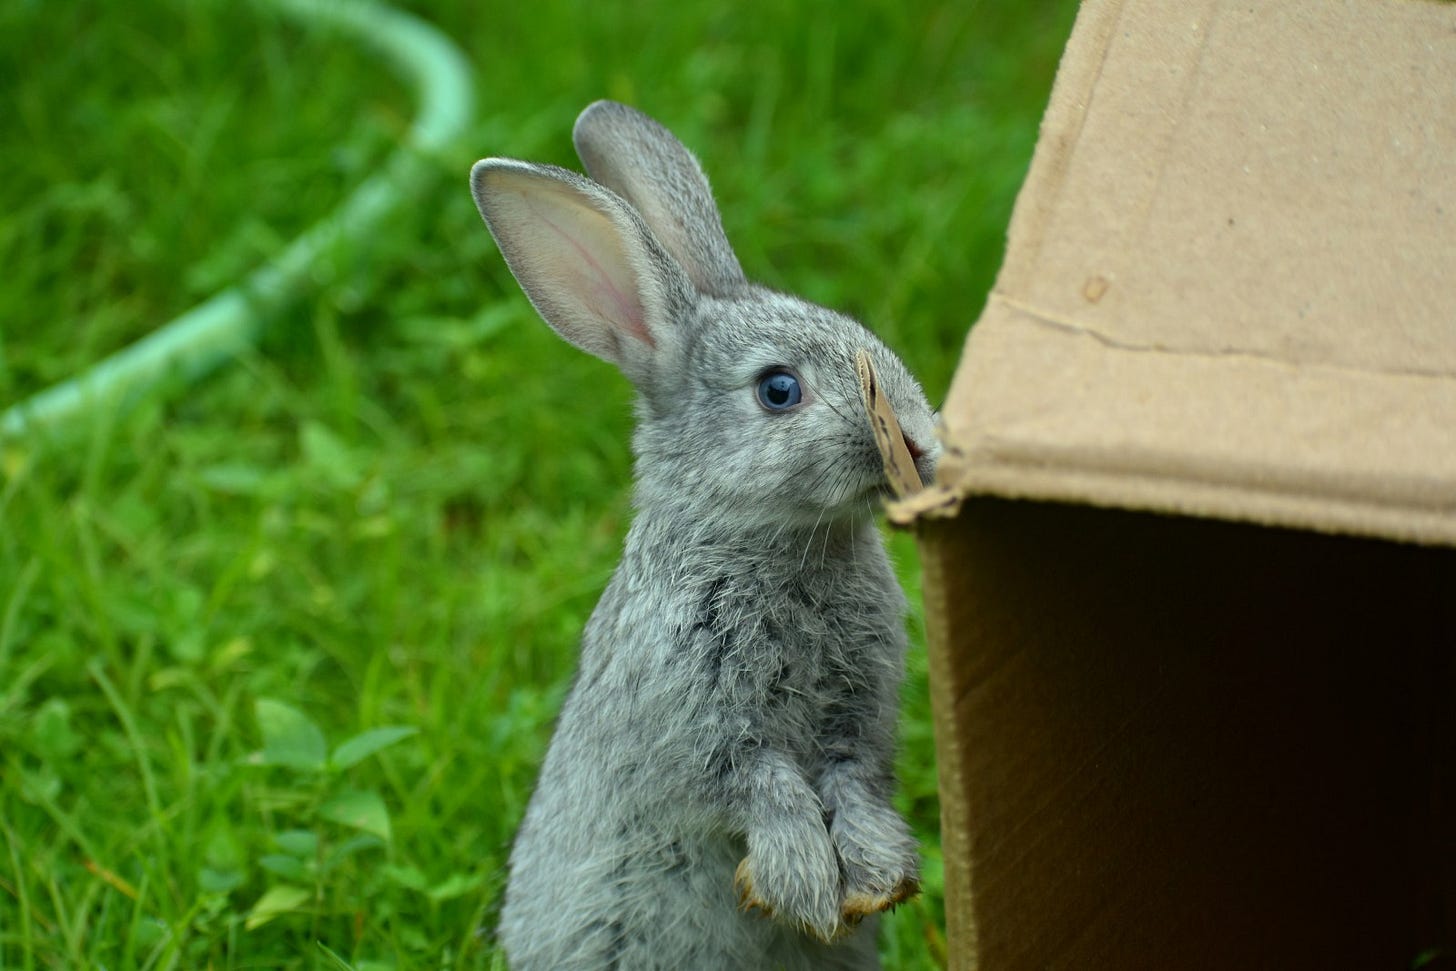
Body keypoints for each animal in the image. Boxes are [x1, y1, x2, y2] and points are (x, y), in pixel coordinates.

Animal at [470, 100, 939, 971]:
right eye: (779, 390)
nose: (920, 442)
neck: (773, 542)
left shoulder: (858, 721)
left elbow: (852, 780)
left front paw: (876, 875)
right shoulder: (701, 719)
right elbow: (765, 788)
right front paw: (804, 885)